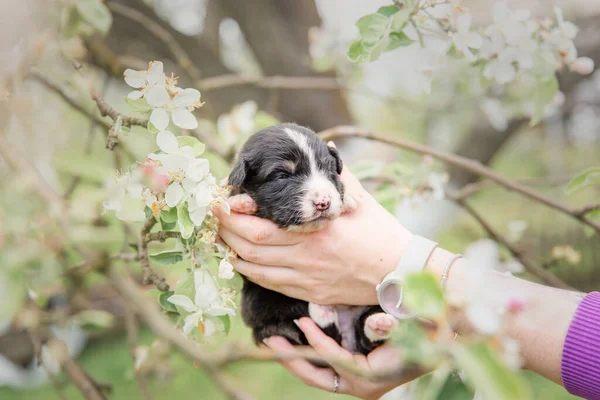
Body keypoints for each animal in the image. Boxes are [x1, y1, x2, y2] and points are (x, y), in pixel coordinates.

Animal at [227, 123, 396, 354]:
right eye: (282, 176)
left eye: (328, 169)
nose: (323, 202)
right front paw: (242, 202)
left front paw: (348, 199)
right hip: (262, 302)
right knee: (303, 332)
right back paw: (322, 314)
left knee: (366, 336)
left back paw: (377, 323)